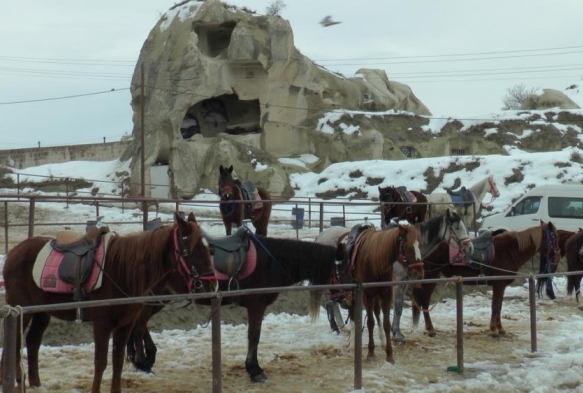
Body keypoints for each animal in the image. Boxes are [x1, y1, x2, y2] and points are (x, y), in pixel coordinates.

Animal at [2, 211, 217, 392]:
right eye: (195, 249)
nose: (213, 285)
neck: (122, 271)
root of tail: (13, 253)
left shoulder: (125, 325)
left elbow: (118, 360)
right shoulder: (102, 323)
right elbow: (101, 362)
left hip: (42, 312)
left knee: (33, 341)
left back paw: (36, 384)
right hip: (22, 310)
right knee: (15, 344)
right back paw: (19, 381)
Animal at [346, 224, 424, 362]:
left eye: (419, 245)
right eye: (407, 246)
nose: (418, 274)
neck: (373, 260)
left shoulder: (385, 294)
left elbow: (386, 323)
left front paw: (389, 354)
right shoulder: (367, 295)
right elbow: (370, 322)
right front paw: (370, 353)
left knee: (377, 312)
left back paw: (381, 341)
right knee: (353, 312)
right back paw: (352, 343)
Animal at [410, 220, 560, 336]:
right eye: (554, 237)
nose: (557, 256)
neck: (510, 251)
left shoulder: (501, 286)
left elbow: (499, 306)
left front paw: (500, 328)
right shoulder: (498, 285)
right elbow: (495, 306)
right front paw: (494, 330)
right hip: (430, 277)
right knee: (424, 301)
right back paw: (430, 329)